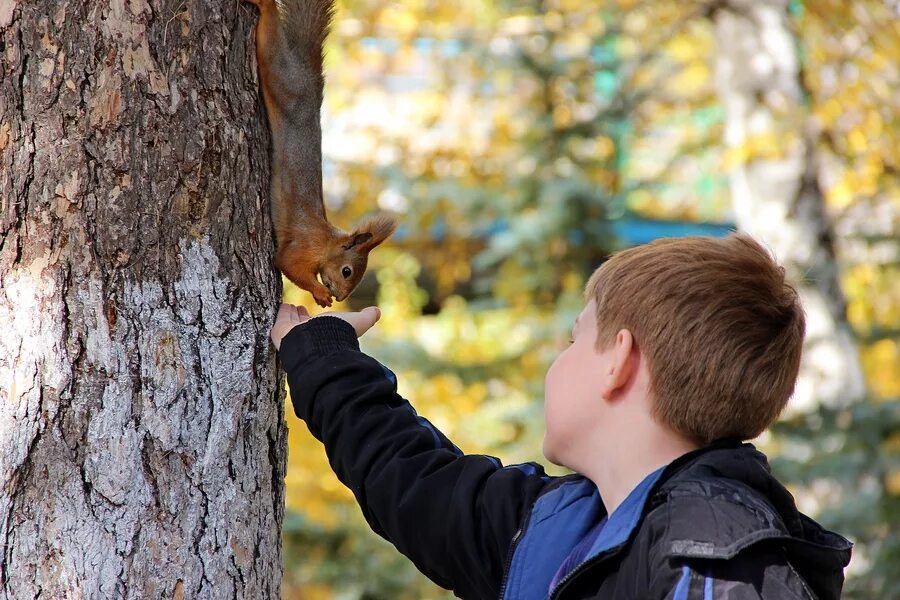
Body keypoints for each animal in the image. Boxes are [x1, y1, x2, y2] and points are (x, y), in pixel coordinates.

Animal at [248, 0, 400, 304]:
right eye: (346, 271)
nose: (341, 298)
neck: (327, 241)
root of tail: (311, 72)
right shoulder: (305, 246)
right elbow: (287, 262)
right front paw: (320, 292)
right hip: (285, 79)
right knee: (271, 45)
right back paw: (265, 6)